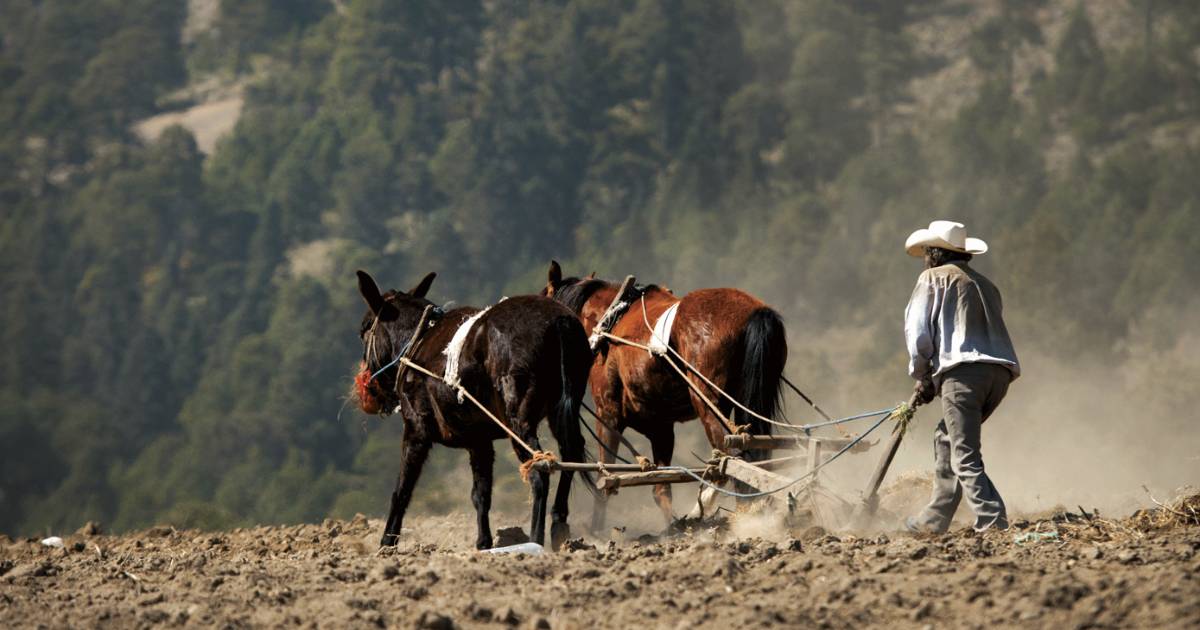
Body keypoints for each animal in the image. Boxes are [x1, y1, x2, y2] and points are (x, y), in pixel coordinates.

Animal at [354, 270, 592, 549]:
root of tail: (559, 322)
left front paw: (387, 542)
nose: (365, 382)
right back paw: (558, 522)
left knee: (539, 470)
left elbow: (402, 490)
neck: (417, 341)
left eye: (364, 330)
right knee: (570, 454)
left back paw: (535, 538)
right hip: (560, 411)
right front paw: (483, 542)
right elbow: (481, 494)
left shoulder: (416, 431)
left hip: (518, 422)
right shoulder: (479, 442)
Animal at [541, 261, 787, 531]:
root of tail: (755, 312)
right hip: (745, 404)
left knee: (729, 456)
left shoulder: (607, 414)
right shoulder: (661, 428)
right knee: (752, 453)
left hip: (707, 402)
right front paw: (671, 527)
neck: (610, 320)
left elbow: (605, 480)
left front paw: (596, 530)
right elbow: (661, 487)